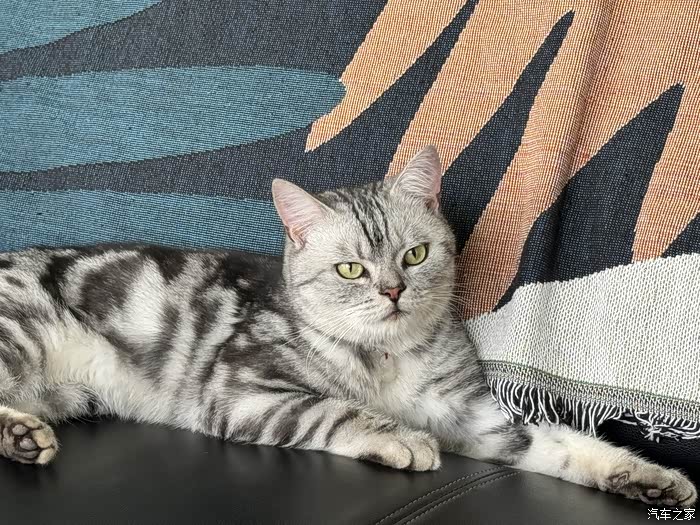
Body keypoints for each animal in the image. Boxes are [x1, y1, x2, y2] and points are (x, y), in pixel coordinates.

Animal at [0, 146, 695, 507]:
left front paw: (647, 475)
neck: (385, 359)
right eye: (352, 268)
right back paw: (24, 437)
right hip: (20, 333)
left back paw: (24, 439)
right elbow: (335, 410)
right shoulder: (244, 389)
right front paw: (403, 438)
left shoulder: (476, 419)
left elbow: (563, 444)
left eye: (415, 255)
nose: (392, 290)